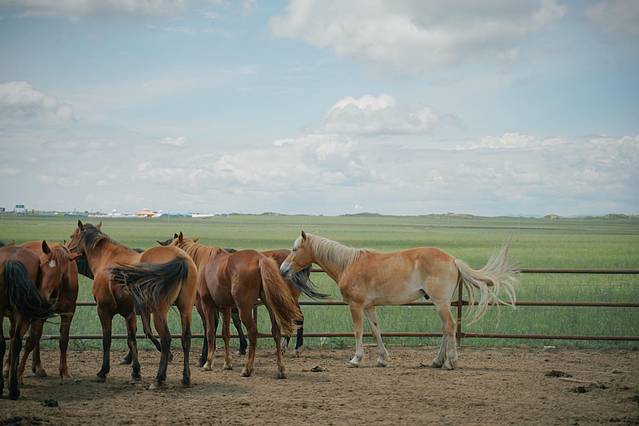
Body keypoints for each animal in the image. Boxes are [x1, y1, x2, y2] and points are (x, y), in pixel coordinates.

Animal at [66, 221, 198, 389]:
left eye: (72, 236)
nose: (66, 249)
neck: (108, 259)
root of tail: (180, 258)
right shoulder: (130, 313)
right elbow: (133, 339)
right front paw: (135, 371)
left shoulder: (104, 311)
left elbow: (108, 340)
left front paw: (103, 371)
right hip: (185, 309)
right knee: (186, 338)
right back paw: (186, 378)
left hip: (159, 312)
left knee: (166, 339)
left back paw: (159, 378)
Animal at [280, 231, 517, 370]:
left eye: (295, 249)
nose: (283, 270)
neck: (348, 264)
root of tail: (452, 259)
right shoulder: (369, 307)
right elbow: (376, 330)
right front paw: (382, 358)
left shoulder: (356, 306)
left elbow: (358, 331)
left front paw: (356, 358)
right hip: (441, 303)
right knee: (445, 328)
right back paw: (437, 361)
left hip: (440, 302)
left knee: (449, 327)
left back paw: (450, 362)